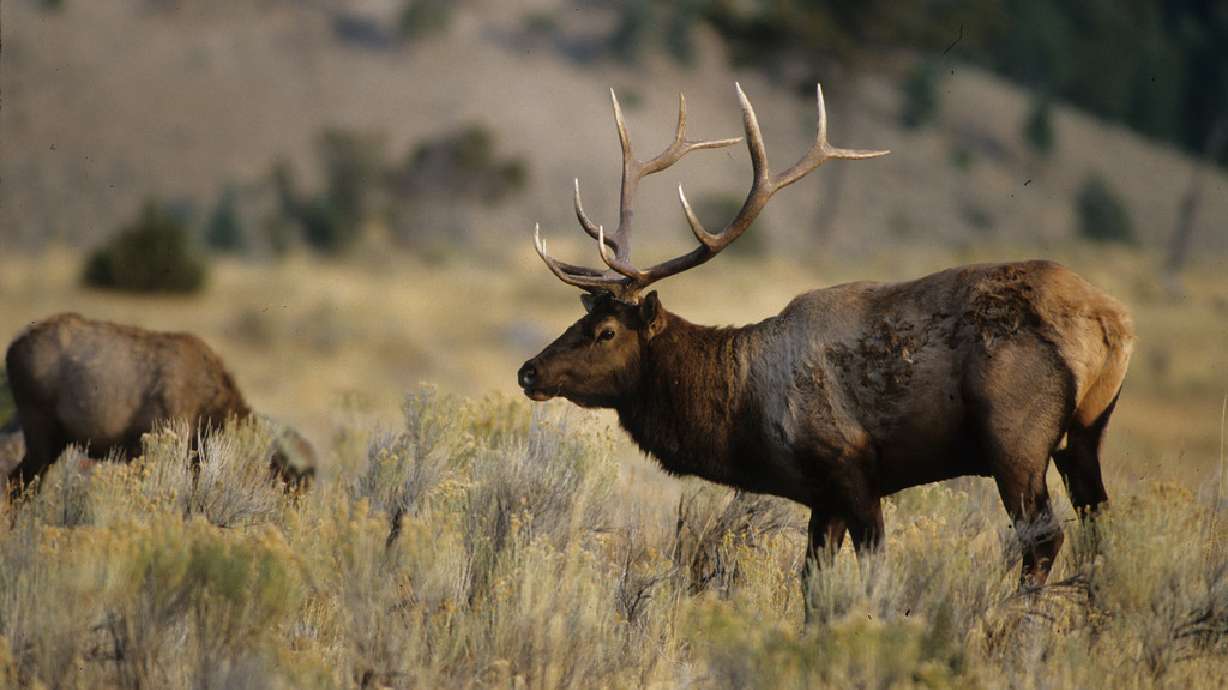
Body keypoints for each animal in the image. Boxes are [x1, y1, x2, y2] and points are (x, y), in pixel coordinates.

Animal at [517, 83, 1134, 592]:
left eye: (605, 331)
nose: (528, 371)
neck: (745, 411)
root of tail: (1115, 323)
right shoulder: (821, 496)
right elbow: (813, 587)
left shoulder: (851, 468)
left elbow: (873, 572)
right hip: (1085, 432)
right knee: (1100, 524)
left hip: (1016, 436)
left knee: (1043, 538)